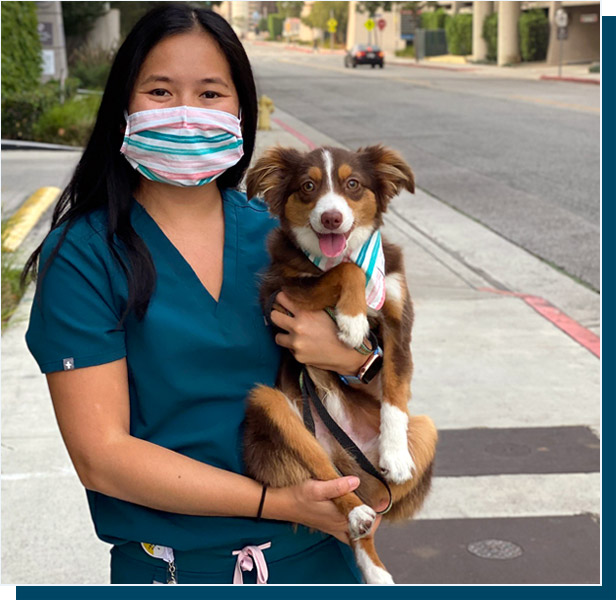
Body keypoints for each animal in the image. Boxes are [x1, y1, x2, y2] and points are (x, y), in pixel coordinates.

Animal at [241, 143, 438, 584]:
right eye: (307, 186)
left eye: (353, 185)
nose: (332, 217)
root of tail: (343, 453)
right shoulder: (284, 292)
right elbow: (345, 272)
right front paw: (351, 320)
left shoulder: (398, 322)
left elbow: (395, 395)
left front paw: (396, 455)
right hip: (272, 403)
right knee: (328, 478)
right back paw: (357, 514)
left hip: (426, 428)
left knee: (373, 506)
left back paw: (376, 568)